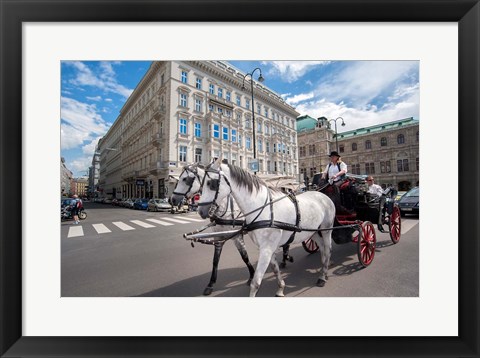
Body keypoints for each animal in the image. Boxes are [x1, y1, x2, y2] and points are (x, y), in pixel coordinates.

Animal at [172, 164, 256, 296]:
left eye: (185, 179)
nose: (172, 199)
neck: (224, 207)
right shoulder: (218, 236)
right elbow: (215, 260)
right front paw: (211, 284)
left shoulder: (237, 236)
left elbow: (245, 256)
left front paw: (252, 275)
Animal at [197, 159, 336, 296]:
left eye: (211, 183)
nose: (200, 211)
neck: (263, 209)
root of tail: (322, 195)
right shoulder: (268, 248)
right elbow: (275, 269)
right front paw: (280, 288)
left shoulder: (266, 249)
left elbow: (255, 283)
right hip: (313, 232)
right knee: (322, 247)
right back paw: (324, 268)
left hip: (327, 229)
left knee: (328, 249)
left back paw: (323, 276)